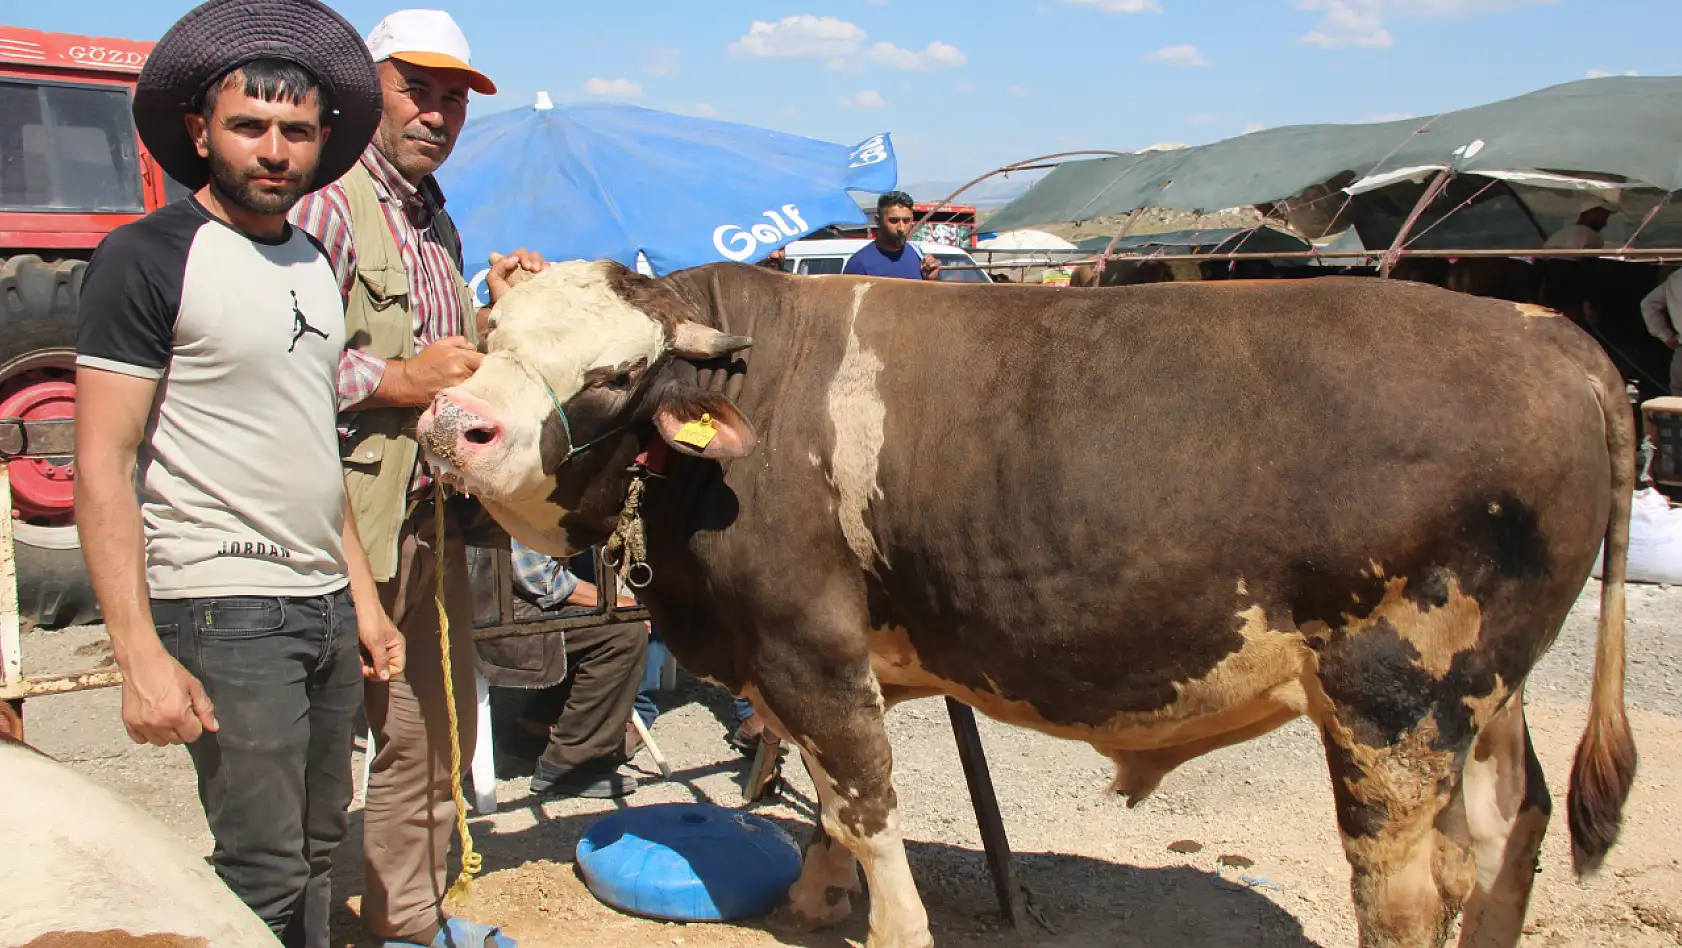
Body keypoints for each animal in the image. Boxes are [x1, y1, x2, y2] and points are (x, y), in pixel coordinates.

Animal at [413, 262, 1634, 948]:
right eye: (492, 337)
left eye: (615, 377)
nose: (454, 425)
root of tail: (1545, 329)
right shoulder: (808, 661)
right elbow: (824, 798)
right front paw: (814, 899)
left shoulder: (808, 646)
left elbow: (864, 804)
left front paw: (885, 925)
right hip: (1488, 695)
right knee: (1508, 835)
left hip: (1392, 703)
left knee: (1409, 891)